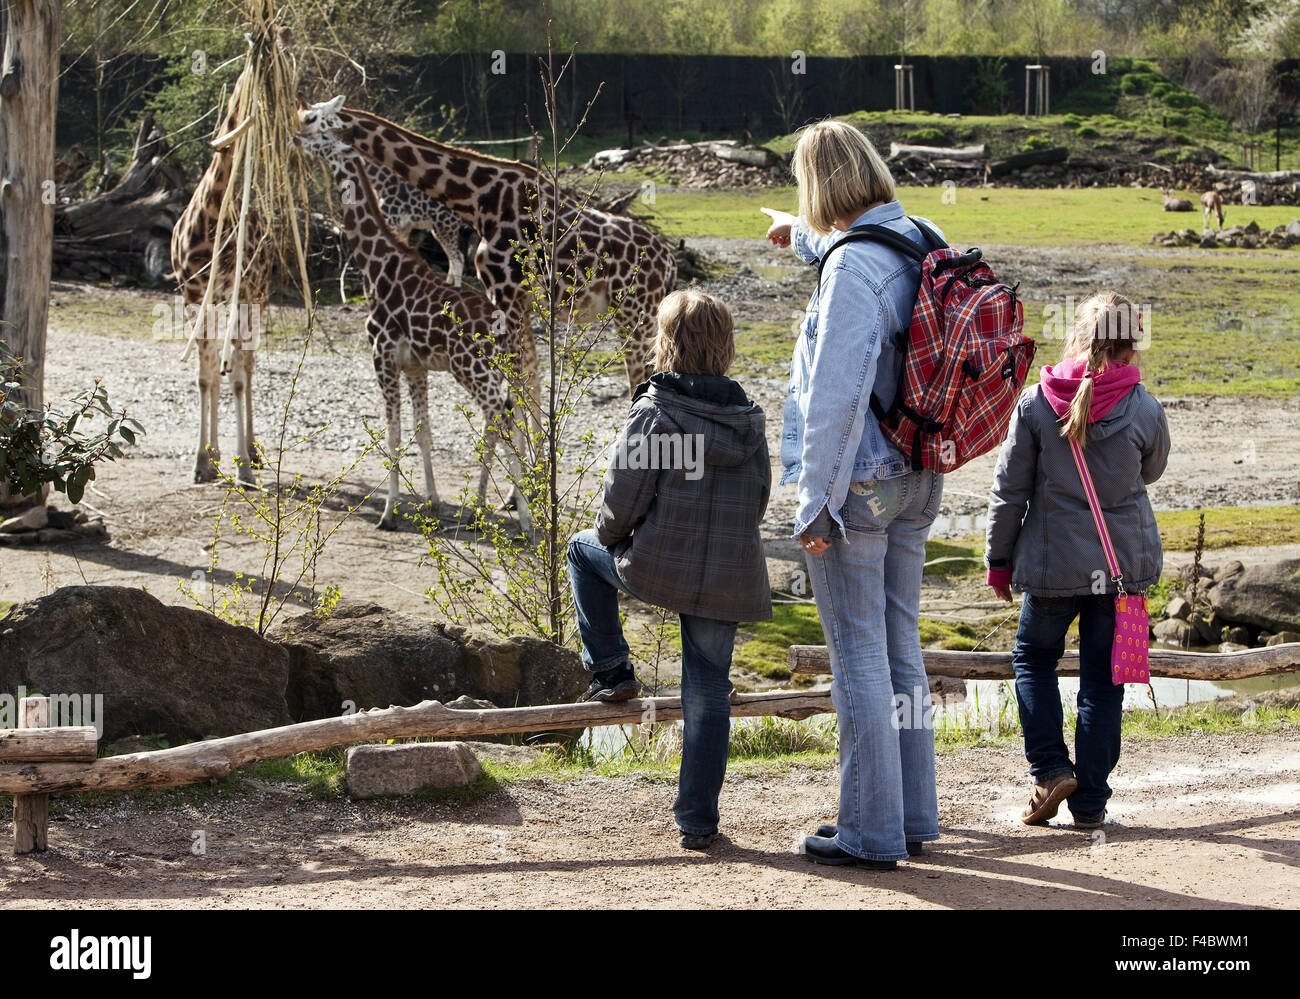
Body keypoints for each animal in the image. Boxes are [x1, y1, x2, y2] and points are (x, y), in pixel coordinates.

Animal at [358, 156, 470, 286]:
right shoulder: (403, 227)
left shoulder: (391, 220)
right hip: (444, 230)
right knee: (453, 258)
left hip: (445, 227)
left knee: (458, 258)